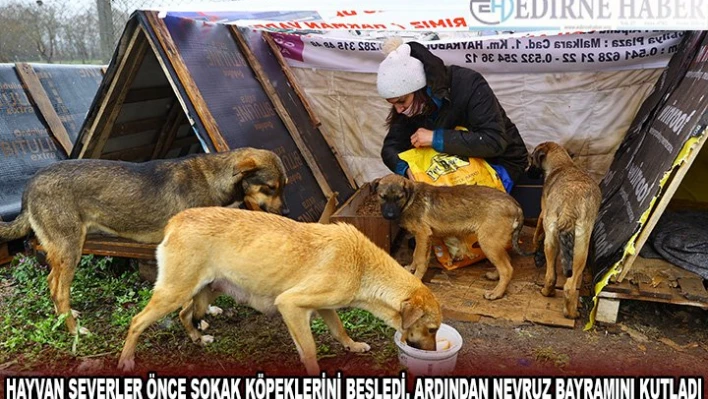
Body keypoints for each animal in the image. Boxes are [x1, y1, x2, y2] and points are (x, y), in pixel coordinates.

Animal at [0, 148, 290, 334]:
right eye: (270, 187)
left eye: (283, 186)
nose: (286, 212)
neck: (215, 181)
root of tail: (30, 185)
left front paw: (206, 311)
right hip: (70, 249)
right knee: (60, 290)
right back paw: (75, 330)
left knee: (52, 283)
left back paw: (67, 316)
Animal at [119, 208, 442, 376]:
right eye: (432, 330)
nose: (433, 354)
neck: (363, 265)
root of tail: (177, 218)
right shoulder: (291, 305)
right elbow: (309, 350)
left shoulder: (324, 307)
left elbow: (338, 330)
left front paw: (352, 345)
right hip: (173, 292)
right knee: (137, 321)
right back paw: (126, 361)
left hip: (206, 290)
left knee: (186, 314)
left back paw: (199, 338)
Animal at [374, 174, 528, 300]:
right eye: (382, 197)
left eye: (399, 198)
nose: (389, 215)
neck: (410, 199)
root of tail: (515, 205)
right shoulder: (421, 237)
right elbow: (415, 255)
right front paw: (411, 269)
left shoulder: (423, 235)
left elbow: (420, 259)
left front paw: (416, 278)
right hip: (495, 243)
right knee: (506, 261)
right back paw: (495, 276)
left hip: (488, 242)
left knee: (507, 269)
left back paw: (496, 293)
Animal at [528, 142, 600, 320]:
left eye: (531, 158)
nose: (527, 172)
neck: (563, 163)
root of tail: (570, 205)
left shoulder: (542, 213)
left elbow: (537, 233)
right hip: (580, 247)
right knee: (567, 284)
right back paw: (571, 310)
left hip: (553, 240)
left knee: (553, 277)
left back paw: (551, 295)